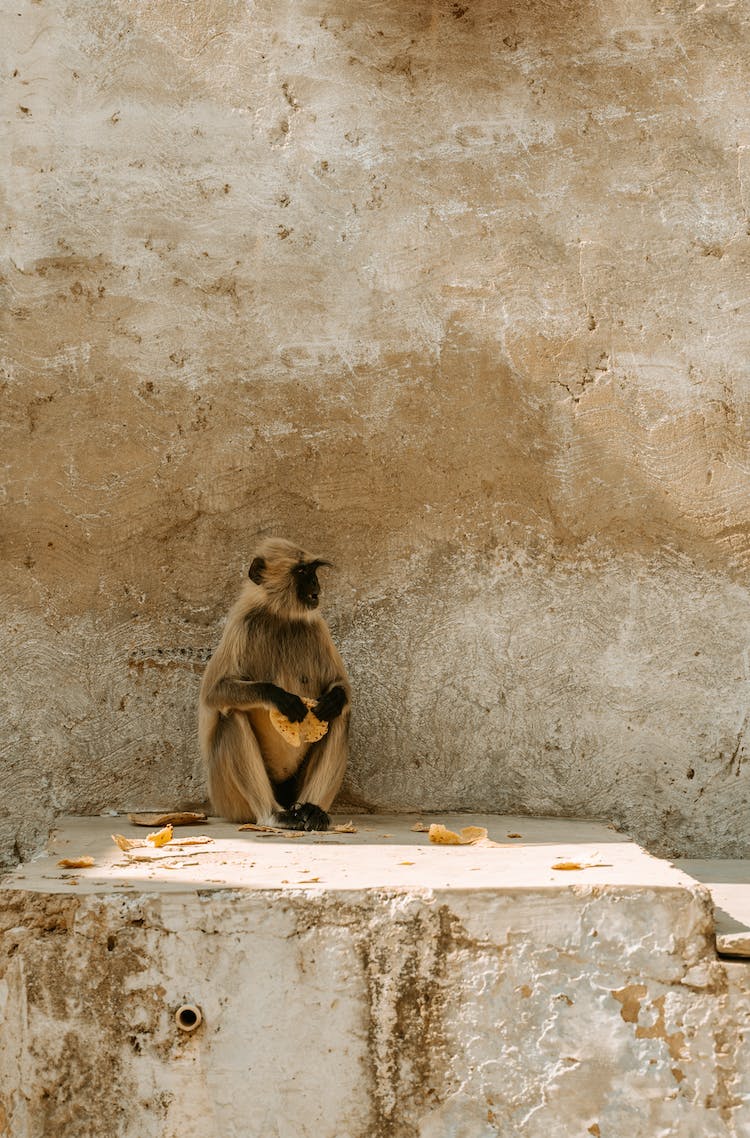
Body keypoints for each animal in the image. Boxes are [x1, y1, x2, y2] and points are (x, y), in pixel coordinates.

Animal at [199, 537, 352, 833]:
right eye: (302, 572)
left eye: (313, 571)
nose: (315, 585)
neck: (280, 616)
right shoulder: (242, 625)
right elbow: (213, 693)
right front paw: (281, 698)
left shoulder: (317, 626)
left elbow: (341, 687)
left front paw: (335, 698)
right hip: (228, 800)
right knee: (231, 715)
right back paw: (273, 814)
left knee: (338, 717)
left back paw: (312, 811)